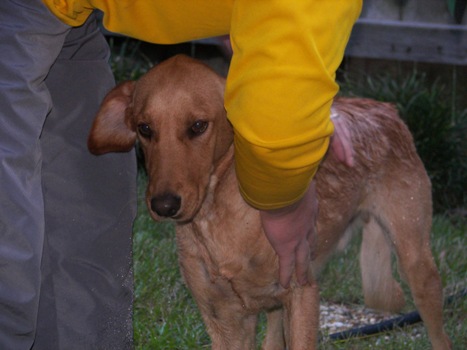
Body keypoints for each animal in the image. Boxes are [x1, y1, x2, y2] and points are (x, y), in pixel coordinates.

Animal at [87, 54, 450, 350]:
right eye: (144, 128)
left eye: (198, 126)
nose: (163, 205)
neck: (218, 218)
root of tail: (384, 108)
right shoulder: (225, 320)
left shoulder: (303, 294)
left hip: (416, 263)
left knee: (438, 332)